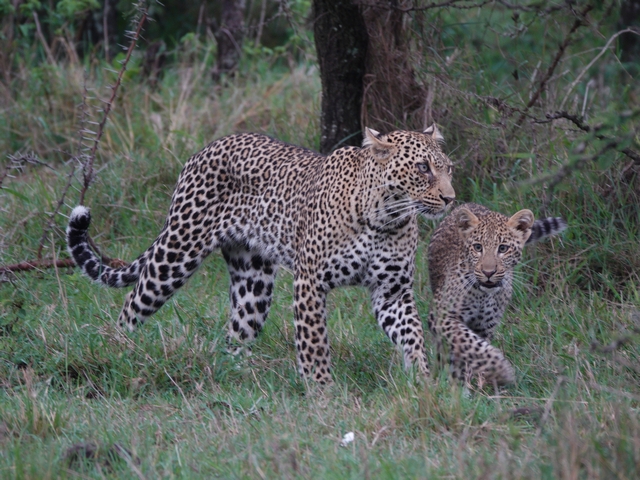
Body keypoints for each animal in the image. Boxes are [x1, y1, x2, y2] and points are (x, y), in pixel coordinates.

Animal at [67, 126, 455, 384]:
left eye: (448, 168)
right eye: (422, 168)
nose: (451, 198)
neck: (385, 216)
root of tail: (203, 150)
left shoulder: (392, 291)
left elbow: (413, 336)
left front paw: (423, 382)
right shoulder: (310, 282)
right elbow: (314, 344)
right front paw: (322, 393)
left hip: (252, 279)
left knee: (236, 334)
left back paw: (241, 375)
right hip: (176, 252)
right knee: (133, 305)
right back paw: (119, 350)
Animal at [427, 203, 567, 387]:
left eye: (503, 248)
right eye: (478, 247)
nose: (488, 272)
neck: (482, 295)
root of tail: (468, 204)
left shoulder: (485, 326)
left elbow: (475, 347)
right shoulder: (440, 314)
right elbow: (469, 342)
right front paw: (501, 369)